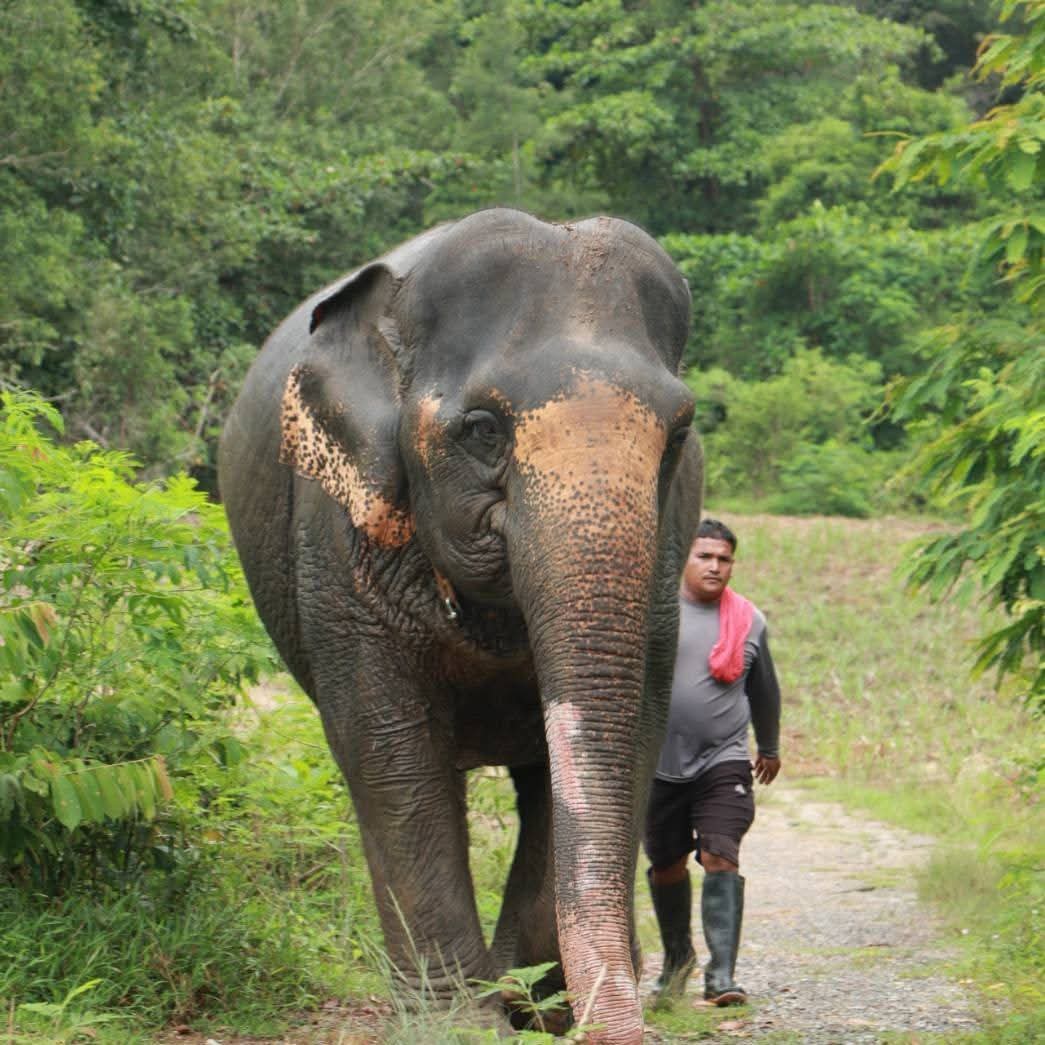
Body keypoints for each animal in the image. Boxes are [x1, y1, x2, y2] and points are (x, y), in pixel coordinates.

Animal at [218, 208, 702, 1043]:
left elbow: (633, 727)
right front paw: (460, 1017)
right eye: (480, 429)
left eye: (678, 434)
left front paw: (527, 1002)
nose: (625, 1025)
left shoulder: (662, 562)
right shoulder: (337, 549)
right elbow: (389, 749)